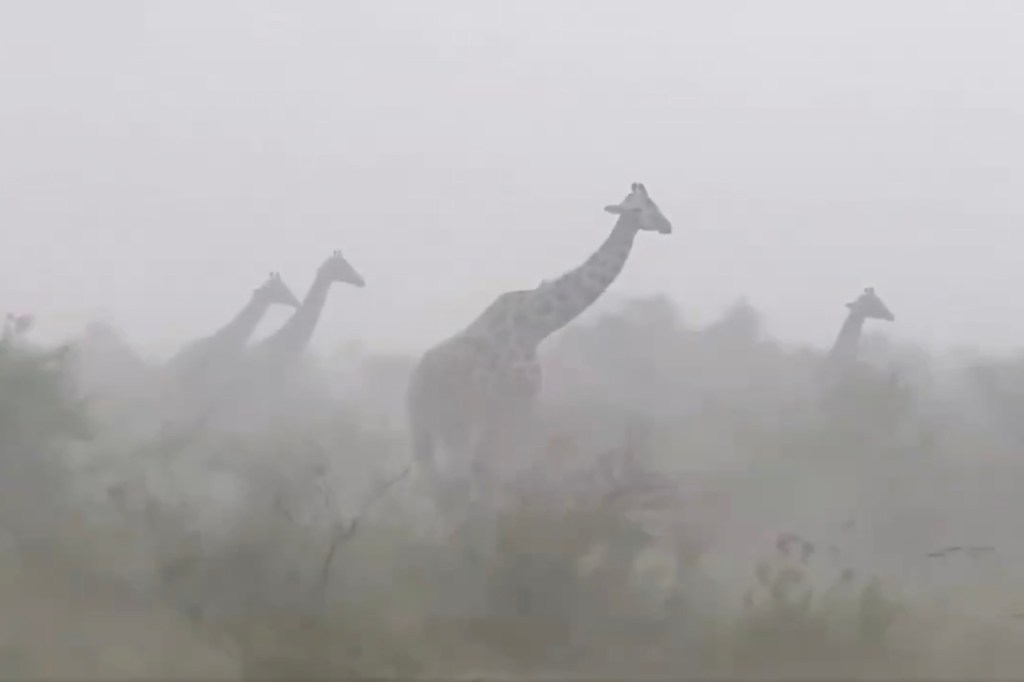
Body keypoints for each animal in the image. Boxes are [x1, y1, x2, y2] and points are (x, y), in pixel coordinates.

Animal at [406, 182, 673, 494]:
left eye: (654, 202)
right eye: (640, 209)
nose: (667, 225)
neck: (536, 324)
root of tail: (414, 379)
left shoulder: (517, 405)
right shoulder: (508, 402)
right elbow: (495, 470)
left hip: (444, 424)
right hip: (435, 422)